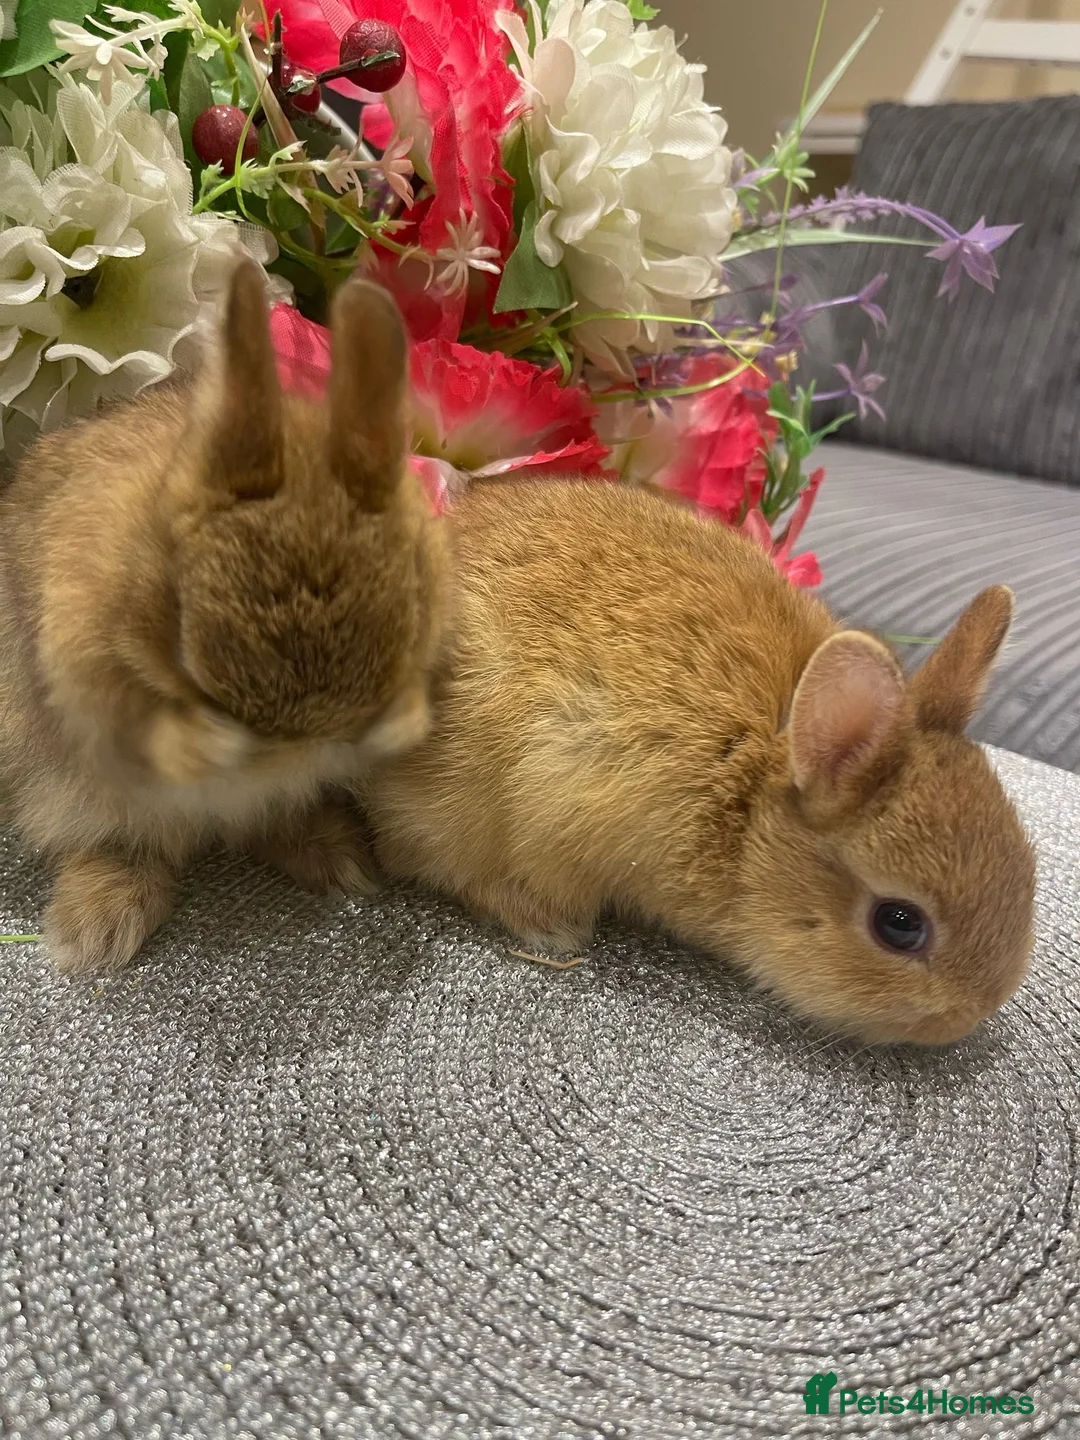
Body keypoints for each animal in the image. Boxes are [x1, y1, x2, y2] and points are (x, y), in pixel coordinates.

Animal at [0, 258, 448, 974]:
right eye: (184, 612)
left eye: (412, 582)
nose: (317, 737)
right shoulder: (88, 674)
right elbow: (153, 736)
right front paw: (212, 745)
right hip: (69, 790)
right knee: (117, 841)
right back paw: (95, 931)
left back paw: (339, 859)